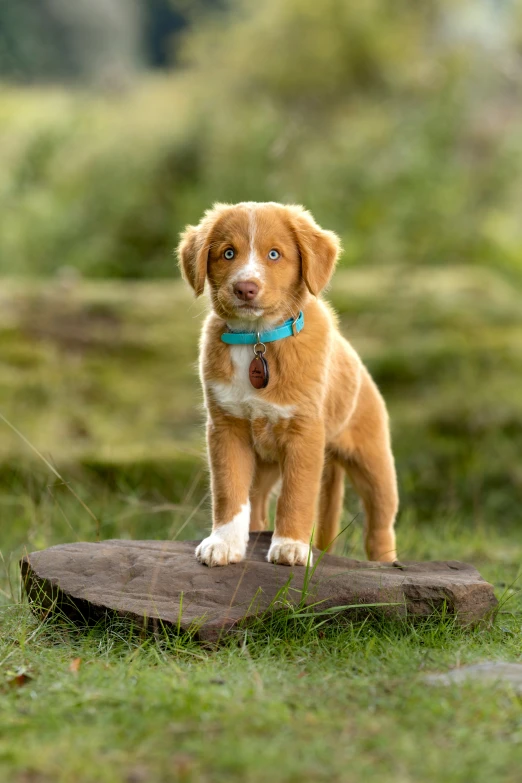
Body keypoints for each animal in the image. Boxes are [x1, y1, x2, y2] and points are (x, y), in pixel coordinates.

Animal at [177, 202, 396, 568]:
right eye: (228, 253)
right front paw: (224, 543)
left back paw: (385, 564)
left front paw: (291, 546)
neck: (257, 340)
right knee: (256, 506)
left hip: (373, 461)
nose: (245, 288)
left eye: (274, 254)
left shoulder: (304, 434)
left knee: (380, 522)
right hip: (264, 466)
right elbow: (228, 490)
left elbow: (297, 494)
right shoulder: (226, 428)